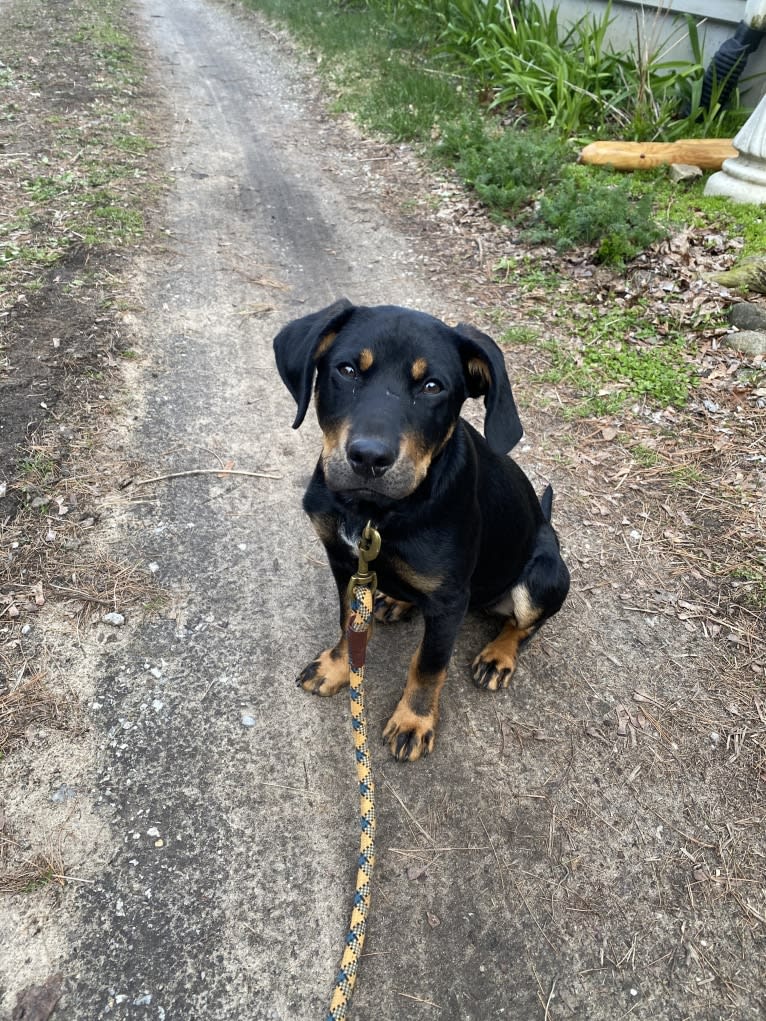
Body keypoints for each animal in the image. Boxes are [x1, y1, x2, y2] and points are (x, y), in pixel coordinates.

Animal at [273, 298, 571, 763]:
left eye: (433, 387)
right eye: (347, 370)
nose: (369, 458)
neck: (374, 514)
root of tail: (547, 524)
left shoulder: (450, 600)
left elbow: (429, 664)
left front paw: (413, 722)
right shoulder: (343, 562)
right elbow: (347, 623)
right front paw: (338, 667)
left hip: (544, 576)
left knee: (525, 625)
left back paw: (498, 656)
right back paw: (397, 600)